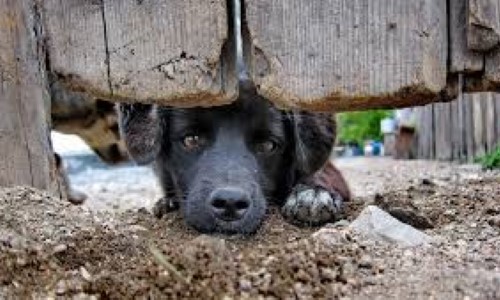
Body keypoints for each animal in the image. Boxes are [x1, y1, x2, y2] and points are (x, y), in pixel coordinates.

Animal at [118, 82, 350, 234]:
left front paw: (312, 193)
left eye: (268, 145)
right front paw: (167, 203)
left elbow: (317, 175)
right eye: (191, 139)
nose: (229, 203)